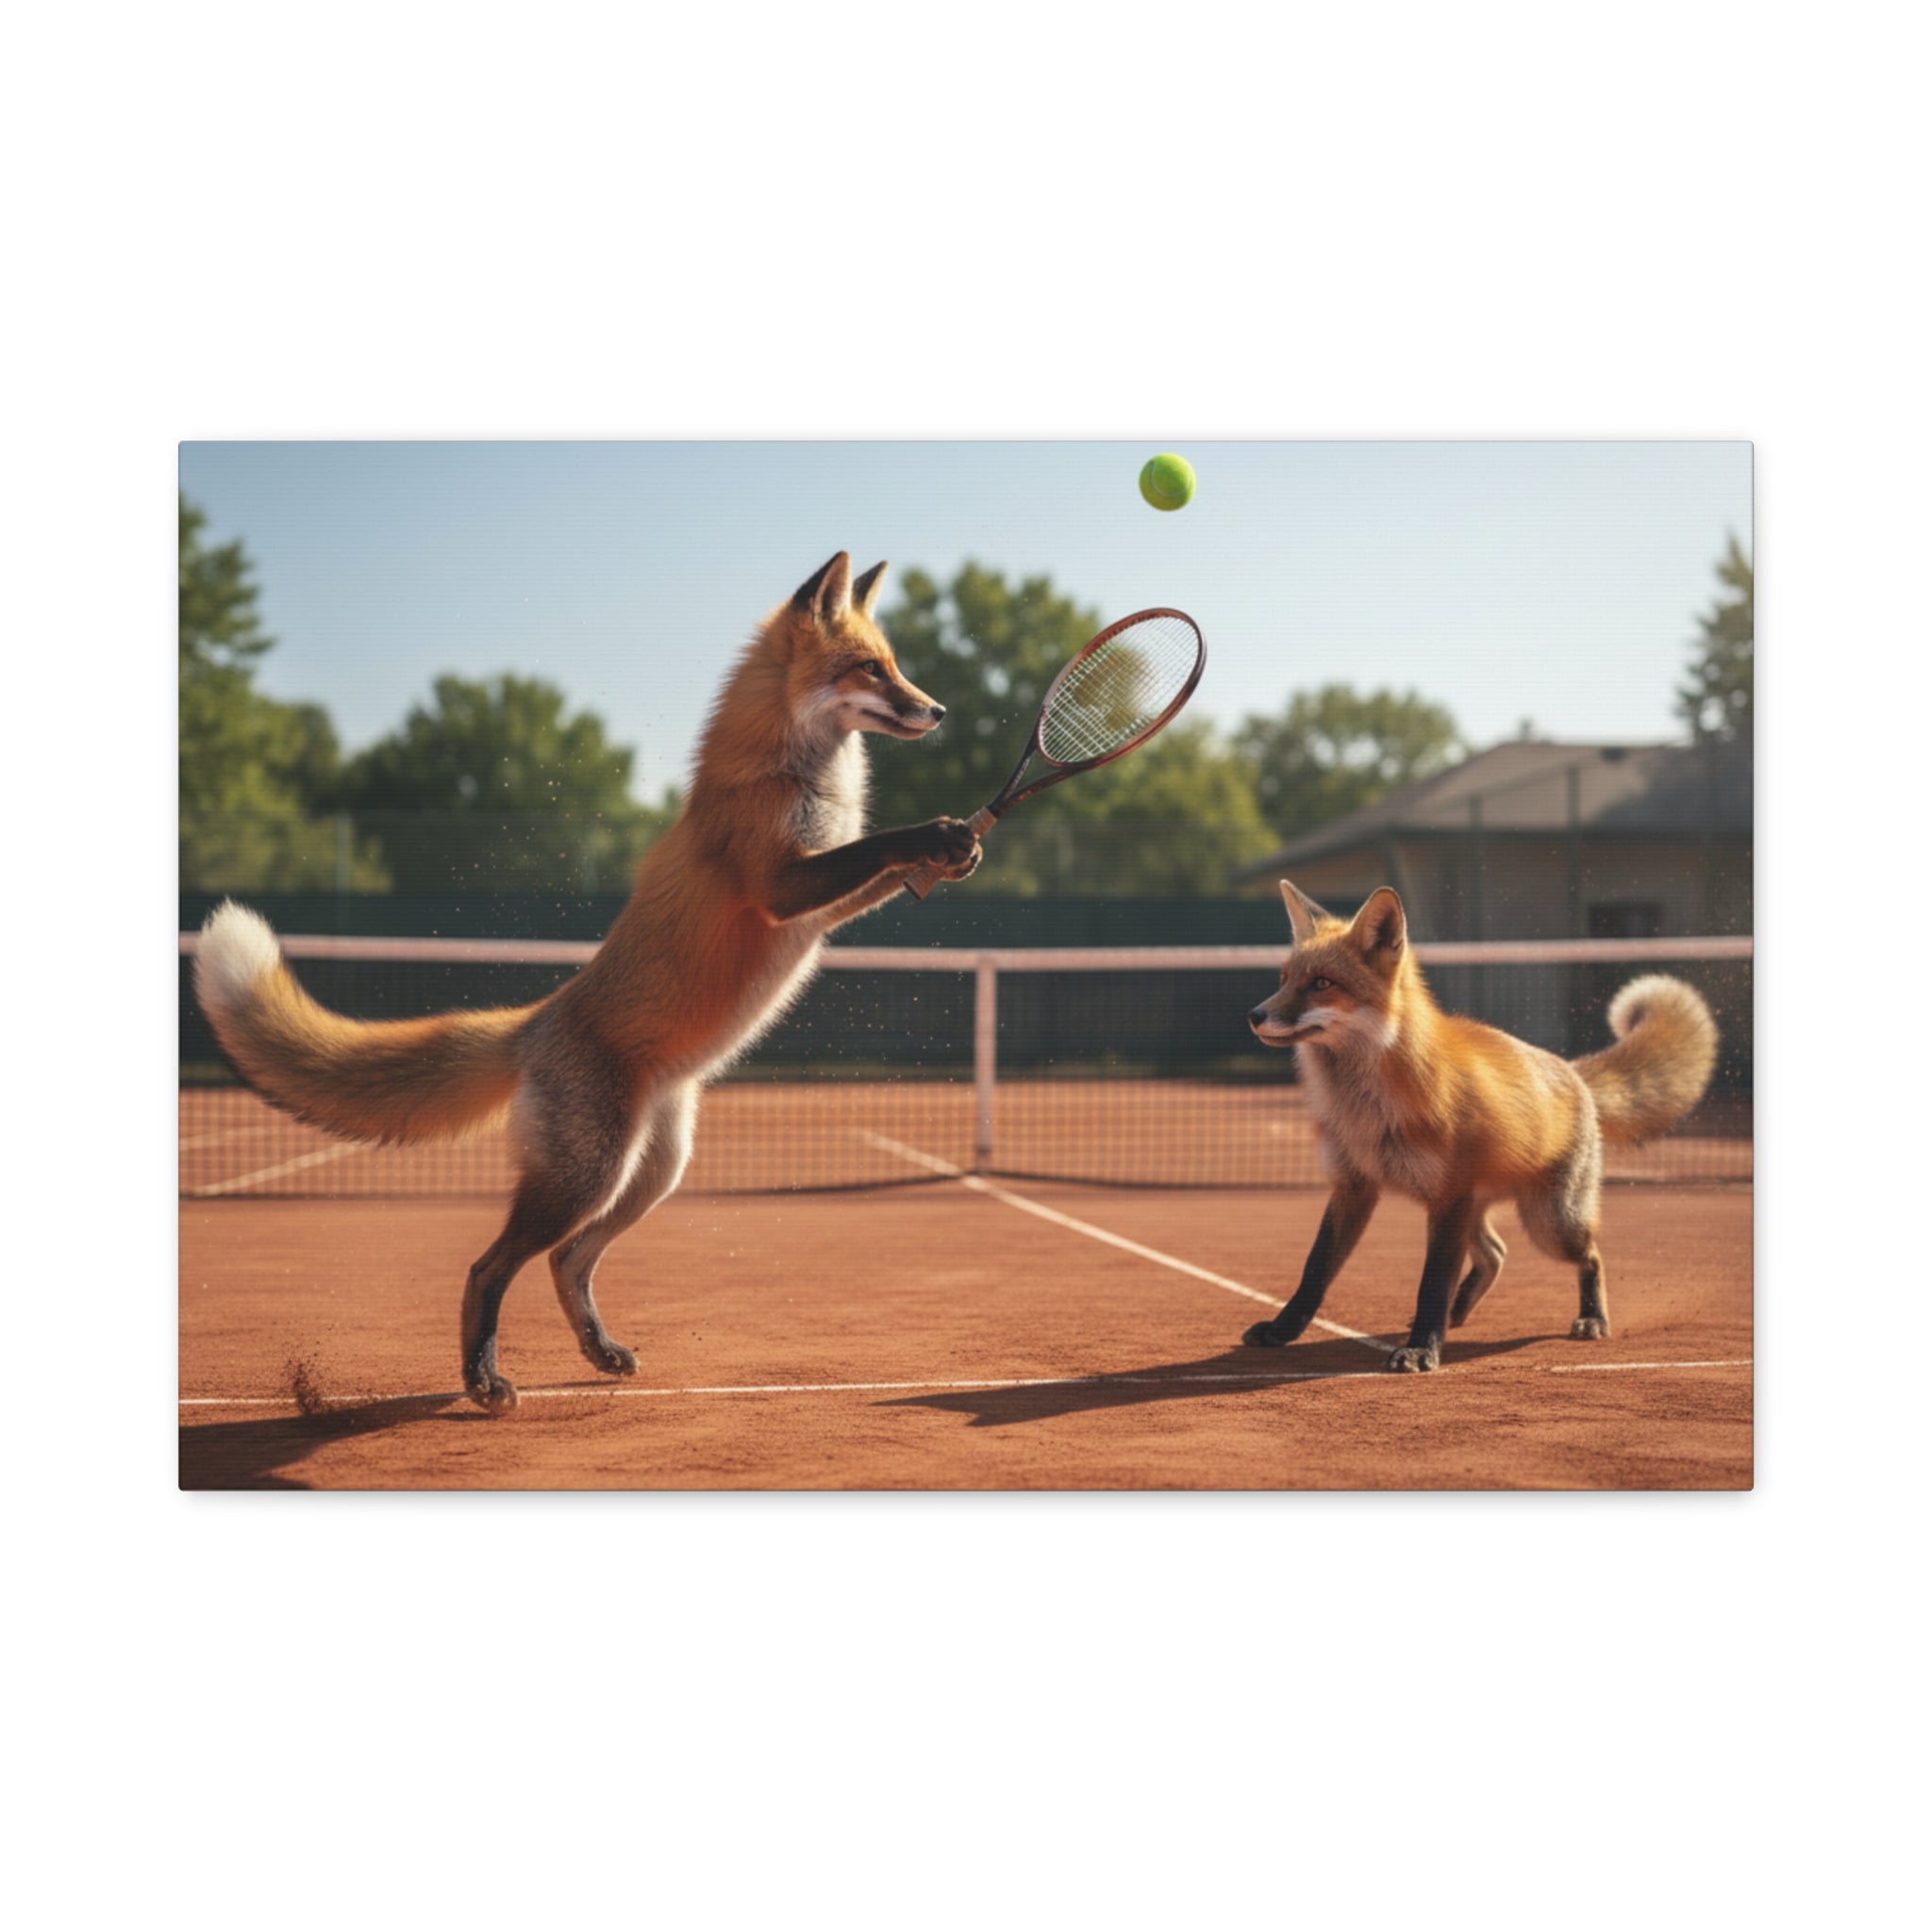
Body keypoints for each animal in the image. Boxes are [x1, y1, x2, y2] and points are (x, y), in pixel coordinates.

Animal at [195, 551, 983, 1412]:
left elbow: (884, 869)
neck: (793, 773)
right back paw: (483, 1380)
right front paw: (942, 830)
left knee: (565, 1260)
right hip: (590, 1175)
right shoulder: (780, 886)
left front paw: (959, 850)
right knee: (491, 1266)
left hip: (652, 1172)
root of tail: (536, 1021)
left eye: (895, 665)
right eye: (873, 668)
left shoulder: (821, 903)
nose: (938, 710)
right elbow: (881, 844)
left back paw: (597, 1351)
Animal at [1241, 879, 1718, 1372]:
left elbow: (1432, 1283)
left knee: (1590, 1257)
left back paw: (1591, 1318)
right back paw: (1458, 1313)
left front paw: (1421, 1349)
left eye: (1322, 984)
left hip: (1549, 1222)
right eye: (1284, 980)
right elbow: (1314, 1272)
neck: (1366, 1108)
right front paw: (1282, 1331)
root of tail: (1571, 1071)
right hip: (1472, 1210)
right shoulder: (1354, 1187)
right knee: (1495, 1254)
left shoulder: (1447, 1196)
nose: (1255, 1015)